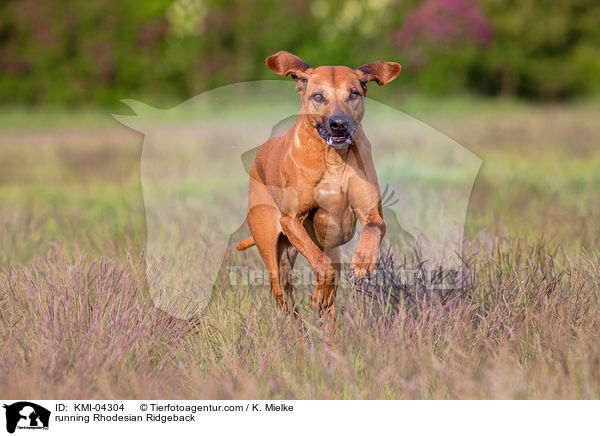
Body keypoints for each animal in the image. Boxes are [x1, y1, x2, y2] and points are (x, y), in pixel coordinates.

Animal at [237, 52, 400, 320]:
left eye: (353, 94)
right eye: (318, 96)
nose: (339, 124)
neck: (334, 158)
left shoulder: (369, 212)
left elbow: (374, 226)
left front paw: (363, 262)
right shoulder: (291, 220)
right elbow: (322, 266)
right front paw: (319, 295)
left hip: (324, 246)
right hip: (272, 248)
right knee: (283, 291)